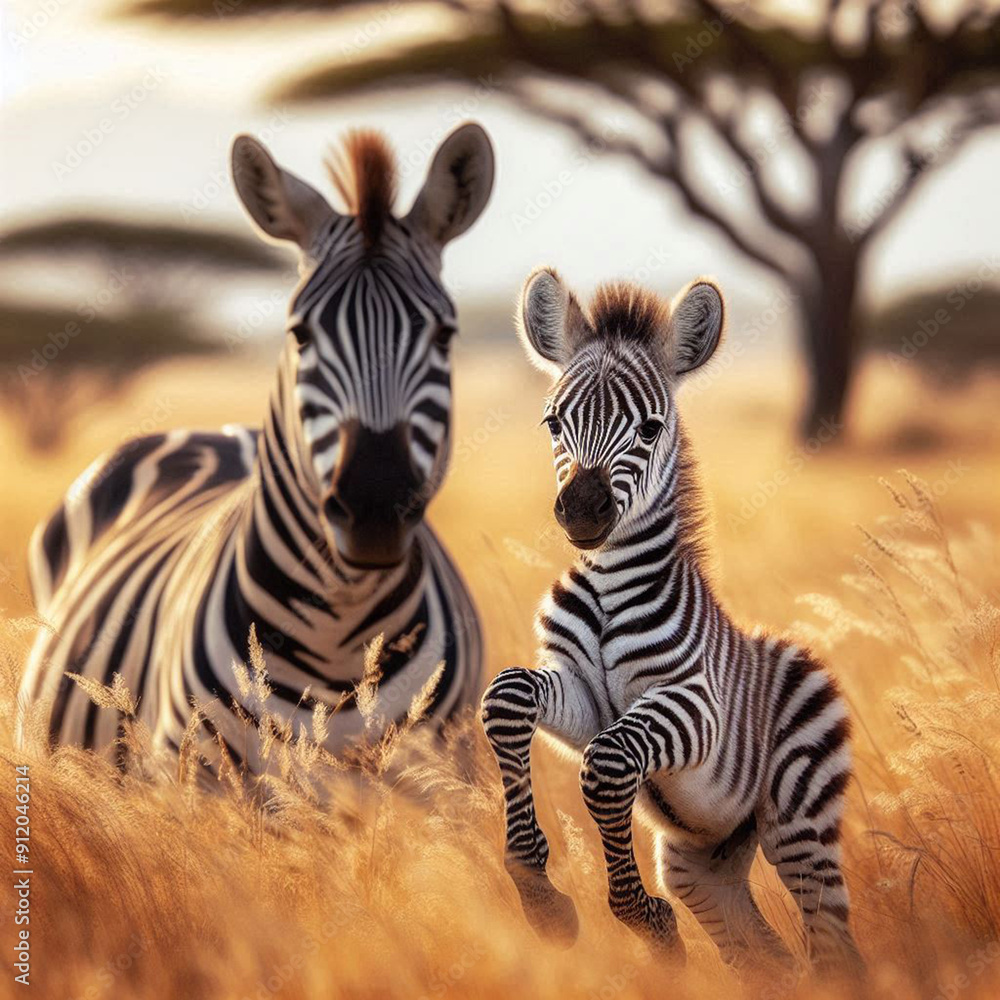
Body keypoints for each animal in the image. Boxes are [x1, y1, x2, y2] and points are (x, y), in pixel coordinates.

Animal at [18, 123, 495, 773]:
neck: (340, 640)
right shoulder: (195, 776)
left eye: (445, 335)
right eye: (301, 333)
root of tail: (218, 431)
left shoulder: (439, 777)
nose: (375, 510)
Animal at [481, 268, 863, 975]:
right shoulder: (579, 695)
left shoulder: (695, 704)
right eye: (553, 422)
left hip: (799, 825)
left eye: (650, 427)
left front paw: (646, 921)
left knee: (832, 941)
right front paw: (538, 892)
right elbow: (507, 695)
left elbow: (607, 764)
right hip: (700, 864)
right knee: (766, 960)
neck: (608, 589)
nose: (582, 511)